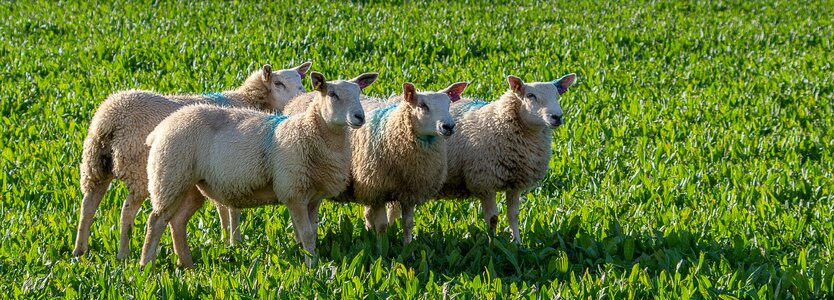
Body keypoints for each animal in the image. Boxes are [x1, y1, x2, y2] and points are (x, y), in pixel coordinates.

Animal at [71, 62, 310, 258]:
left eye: (301, 81)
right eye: (278, 83)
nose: (302, 98)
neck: (248, 100)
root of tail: (109, 119)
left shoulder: (218, 170)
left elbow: (222, 207)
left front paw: (225, 240)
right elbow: (233, 209)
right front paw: (236, 242)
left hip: (96, 165)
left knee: (88, 205)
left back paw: (80, 250)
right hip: (138, 169)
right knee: (126, 211)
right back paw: (123, 254)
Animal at [141, 71, 380, 268]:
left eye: (359, 92)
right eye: (332, 94)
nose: (359, 117)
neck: (308, 131)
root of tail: (162, 127)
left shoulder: (314, 196)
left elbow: (311, 232)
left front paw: (311, 259)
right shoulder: (293, 191)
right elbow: (306, 234)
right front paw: (311, 268)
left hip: (190, 185)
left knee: (177, 221)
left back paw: (186, 264)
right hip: (169, 175)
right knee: (156, 221)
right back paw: (147, 267)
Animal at [330, 81, 464, 244]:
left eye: (448, 104)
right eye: (422, 105)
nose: (449, 126)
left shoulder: (410, 191)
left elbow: (408, 223)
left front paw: (408, 246)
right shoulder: (377, 189)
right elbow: (382, 225)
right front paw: (382, 246)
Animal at [426, 74, 576, 243]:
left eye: (556, 95)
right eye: (530, 95)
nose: (557, 117)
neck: (497, 122)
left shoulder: (515, 182)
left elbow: (514, 215)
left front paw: (517, 242)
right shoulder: (484, 182)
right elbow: (493, 218)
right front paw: (493, 242)